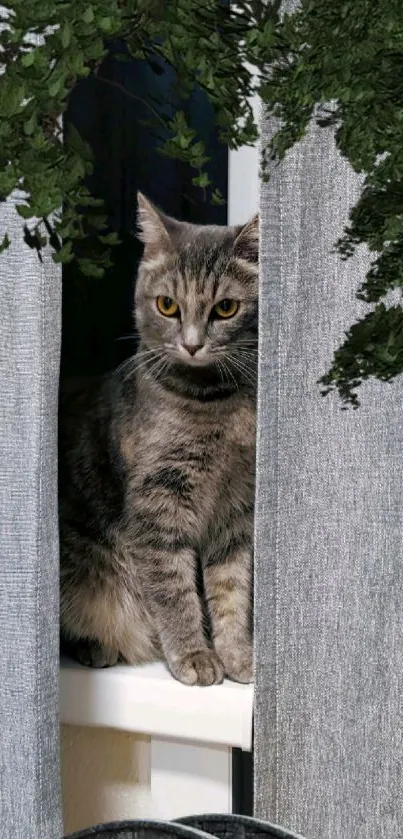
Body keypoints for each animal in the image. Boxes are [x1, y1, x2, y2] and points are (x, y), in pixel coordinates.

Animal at [58, 194, 258, 684]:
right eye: (167, 305)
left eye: (226, 308)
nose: (192, 344)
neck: (213, 403)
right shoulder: (158, 506)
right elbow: (174, 589)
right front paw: (194, 655)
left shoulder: (237, 511)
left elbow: (231, 589)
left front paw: (236, 654)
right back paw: (97, 646)